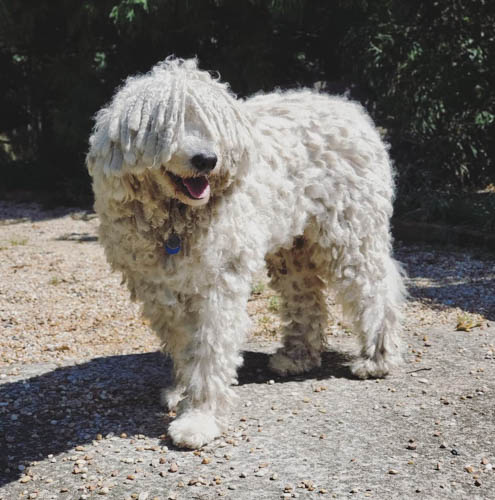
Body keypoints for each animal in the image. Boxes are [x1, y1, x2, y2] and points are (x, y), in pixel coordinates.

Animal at [87, 58, 406, 450]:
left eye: (213, 122)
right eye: (169, 124)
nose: (207, 159)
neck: (175, 219)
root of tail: (348, 108)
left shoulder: (217, 285)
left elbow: (210, 350)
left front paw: (198, 420)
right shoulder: (159, 290)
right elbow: (184, 344)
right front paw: (181, 391)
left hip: (351, 235)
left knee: (376, 291)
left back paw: (377, 359)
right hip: (293, 249)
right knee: (307, 299)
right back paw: (297, 356)